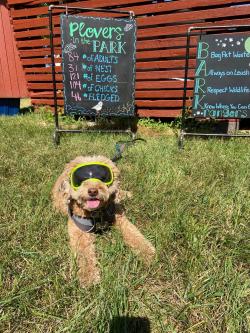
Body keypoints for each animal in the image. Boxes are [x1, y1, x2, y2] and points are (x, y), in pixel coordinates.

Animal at [51, 156, 155, 286]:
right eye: (80, 179)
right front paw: (88, 276)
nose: (93, 191)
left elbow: (134, 234)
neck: (96, 213)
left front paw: (147, 252)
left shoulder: (119, 218)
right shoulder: (79, 230)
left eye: (103, 177)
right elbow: (83, 253)